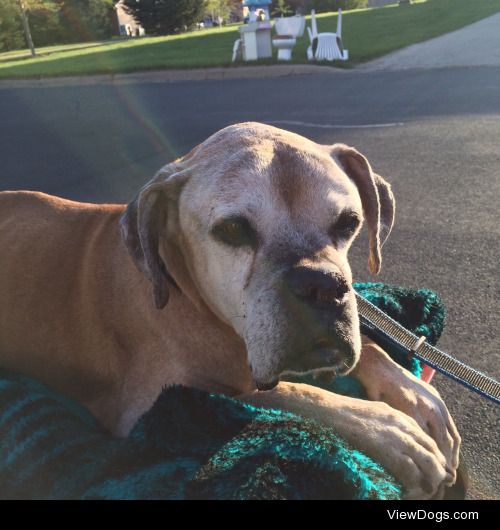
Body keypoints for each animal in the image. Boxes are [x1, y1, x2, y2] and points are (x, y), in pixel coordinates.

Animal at [0, 121, 460, 498]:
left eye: (349, 223)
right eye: (234, 229)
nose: (323, 285)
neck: (187, 291)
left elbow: (366, 349)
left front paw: (413, 392)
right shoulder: (150, 401)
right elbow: (284, 393)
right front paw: (389, 431)